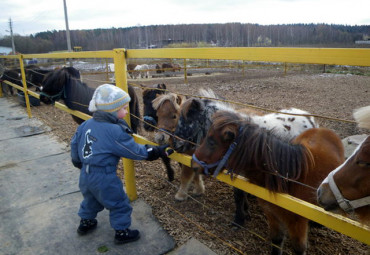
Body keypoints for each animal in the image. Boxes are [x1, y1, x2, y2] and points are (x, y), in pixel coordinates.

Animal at [192, 111, 346, 255]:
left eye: (212, 142)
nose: (194, 165)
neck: (286, 179)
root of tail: (325, 130)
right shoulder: (272, 214)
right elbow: (276, 241)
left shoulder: (298, 222)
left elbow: (299, 249)